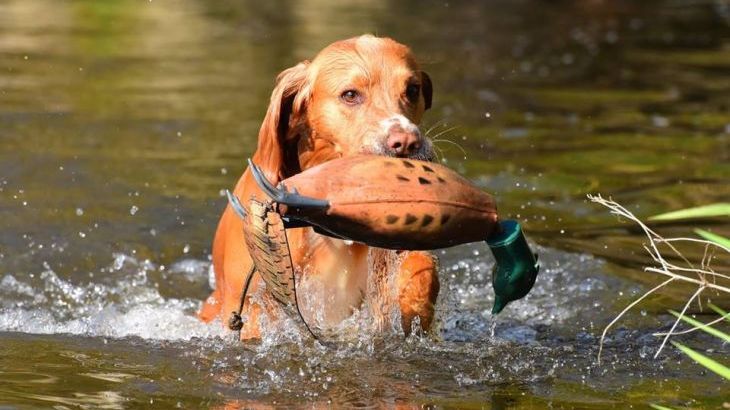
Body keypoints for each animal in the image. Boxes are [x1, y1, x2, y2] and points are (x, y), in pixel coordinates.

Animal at [198, 35, 438, 338]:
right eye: (350, 94)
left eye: (413, 89)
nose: (406, 143)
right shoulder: (253, 302)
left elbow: (423, 268)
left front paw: (416, 312)